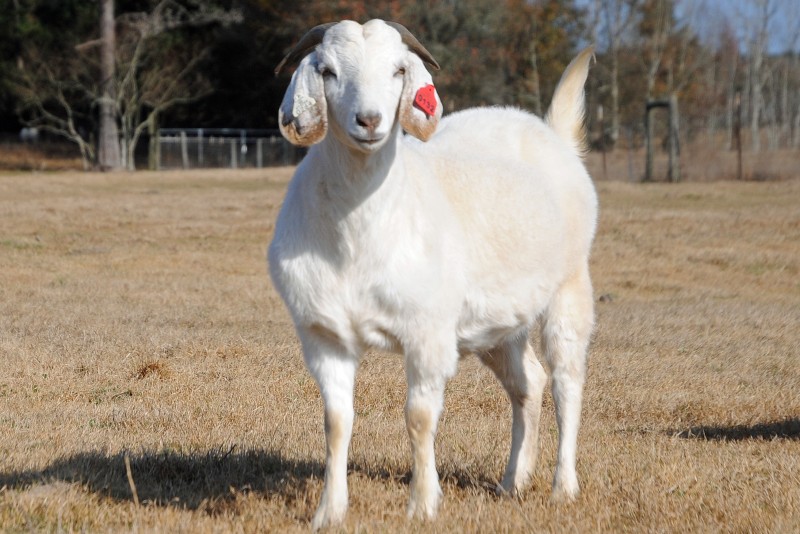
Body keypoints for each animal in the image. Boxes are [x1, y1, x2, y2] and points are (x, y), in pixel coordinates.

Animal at [268, 19, 597, 530]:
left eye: (399, 70)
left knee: (567, 384)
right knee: (529, 383)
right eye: (327, 71)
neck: (358, 240)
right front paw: (329, 512)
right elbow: (336, 422)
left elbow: (419, 418)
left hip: (569, 288)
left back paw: (563, 488)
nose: (369, 120)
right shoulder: (325, 336)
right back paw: (513, 482)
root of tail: (553, 134)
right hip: (497, 324)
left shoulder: (428, 334)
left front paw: (423, 505)